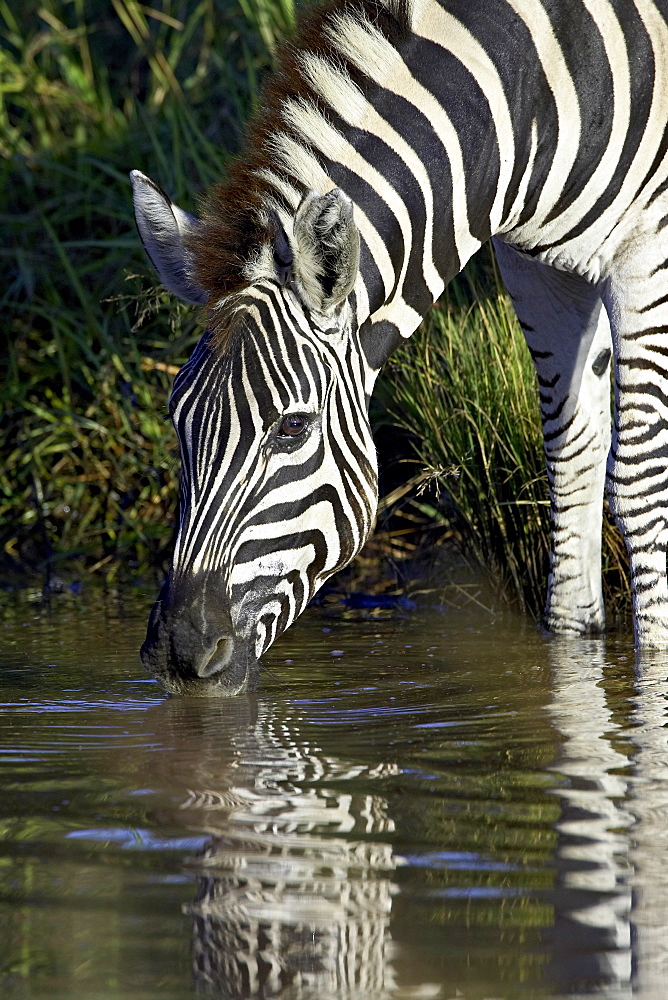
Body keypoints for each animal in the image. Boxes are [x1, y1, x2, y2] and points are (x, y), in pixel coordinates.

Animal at [130, 0, 668, 696]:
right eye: (178, 418)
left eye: (292, 428)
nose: (180, 652)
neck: (537, 89)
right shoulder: (536, 266)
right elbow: (572, 457)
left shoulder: (647, 251)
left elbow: (639, 484)